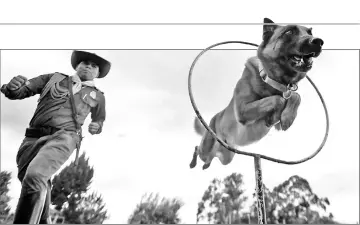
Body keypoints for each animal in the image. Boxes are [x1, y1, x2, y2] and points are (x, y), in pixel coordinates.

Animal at [190, 18, 324, 169]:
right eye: (289, 31)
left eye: (310, 32)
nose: (318, 41)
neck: (272, 81)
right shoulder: (243, 110)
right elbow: (277, 99)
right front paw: (276, 113)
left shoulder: (279, 120)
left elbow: (295, 96)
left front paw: (287, 117)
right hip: (208, 147)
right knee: (198, 149)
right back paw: (194, 163)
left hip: (227, 156)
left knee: (212, 158)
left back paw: (206, 165)